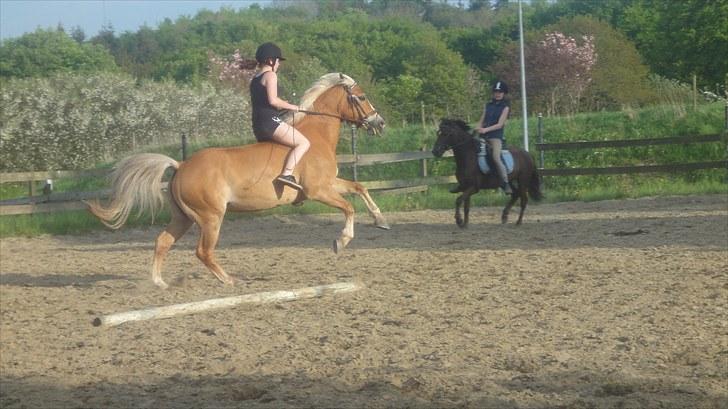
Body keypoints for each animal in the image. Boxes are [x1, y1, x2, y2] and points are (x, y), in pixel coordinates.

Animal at [86, 72, 386, 286]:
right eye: (361, 97)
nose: (380, 123)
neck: (316, 135)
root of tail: (181, 165)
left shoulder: (329, 185)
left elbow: (359, 188)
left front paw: (380, 220)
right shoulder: (318, 190)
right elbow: (348, 207)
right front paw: (341, 241)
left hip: (183, 217)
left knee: (163, 241)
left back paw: (160, 283)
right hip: (210, 217)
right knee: (203, 251)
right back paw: (229, 280)